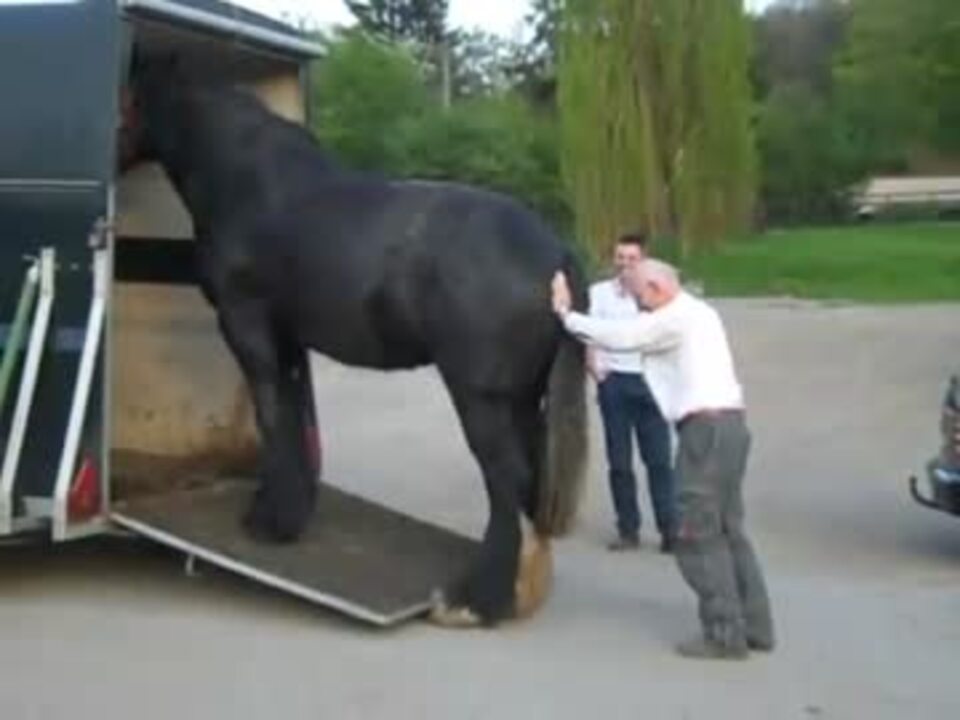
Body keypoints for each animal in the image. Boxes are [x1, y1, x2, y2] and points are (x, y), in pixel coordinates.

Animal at [119, 55, 588, 627]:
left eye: (125, 93)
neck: (245, 179)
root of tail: (554, 251)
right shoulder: (288, 339)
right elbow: (293, 415)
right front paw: (289, 511)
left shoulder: (248, 326)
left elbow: (272, 416)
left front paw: (268, 521)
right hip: (522, 400)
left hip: (482, 399)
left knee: (507, 481)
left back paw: (473, 601)